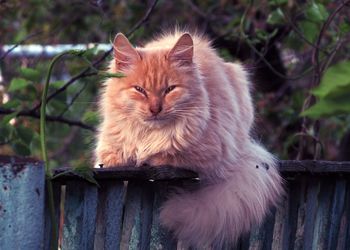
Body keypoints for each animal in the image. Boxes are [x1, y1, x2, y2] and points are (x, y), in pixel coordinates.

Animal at [94, 31, 284, 248]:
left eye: (170, 89)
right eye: (139, 90)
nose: (155, 109)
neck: (149, 135)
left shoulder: (205, 157)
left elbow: (163, 156)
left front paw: (145, 159)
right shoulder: (108, 149)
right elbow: (111, 160)